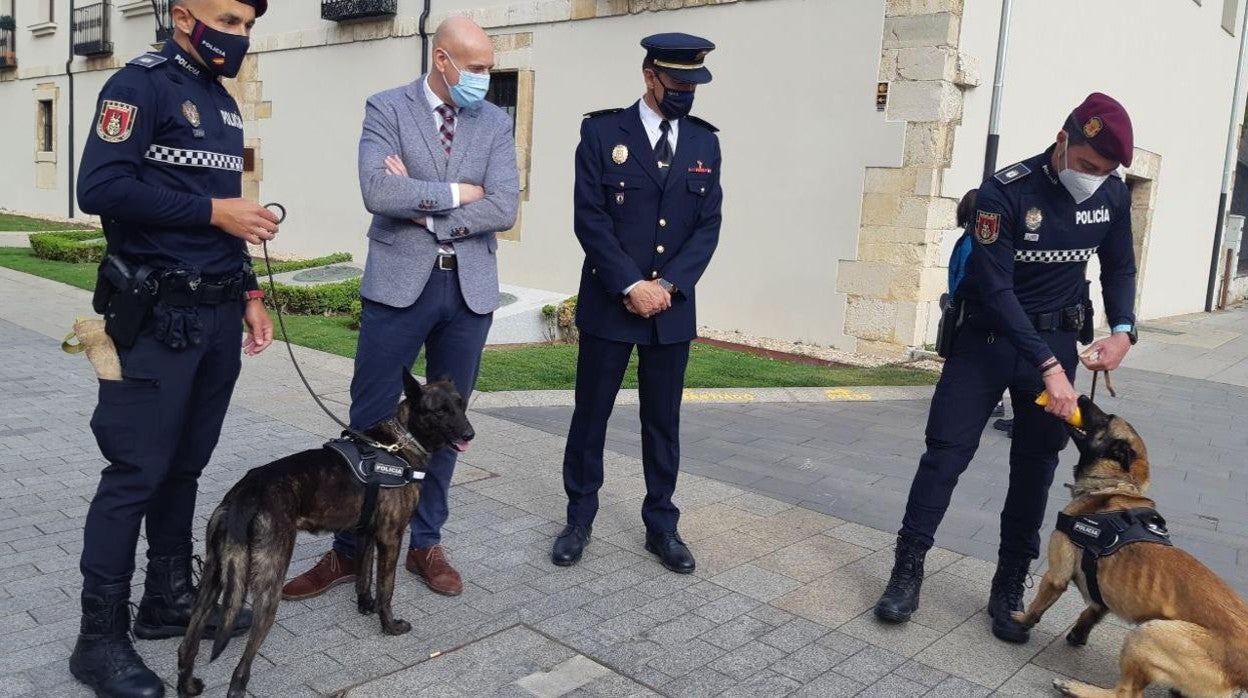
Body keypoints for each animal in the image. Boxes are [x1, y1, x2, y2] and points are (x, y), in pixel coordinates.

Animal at [182, 377, 476, 698]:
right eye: (440, 411)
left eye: (461, 405)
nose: (469, 435)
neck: (399, 444)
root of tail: (245, 494)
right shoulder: (391, 537)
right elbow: (386, 588)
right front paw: (389, 626)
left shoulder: (366, 533)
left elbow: (363, 575)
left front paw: (365, 605)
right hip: (269, 585)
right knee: (240, 668)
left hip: (213, 579)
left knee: (187, 645)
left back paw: (188, 684)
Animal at [1008, 397, 1243, 694]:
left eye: (1106, 417)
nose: (1081, 397)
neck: (1116, 485)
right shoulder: (1101, 593)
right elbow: (1091, 611)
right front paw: (1078, 634)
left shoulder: (1055, 576)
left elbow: (1038, 606)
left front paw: (1020, 620)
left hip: (1148, 633)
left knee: (1125, 693)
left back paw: (1074, 687)